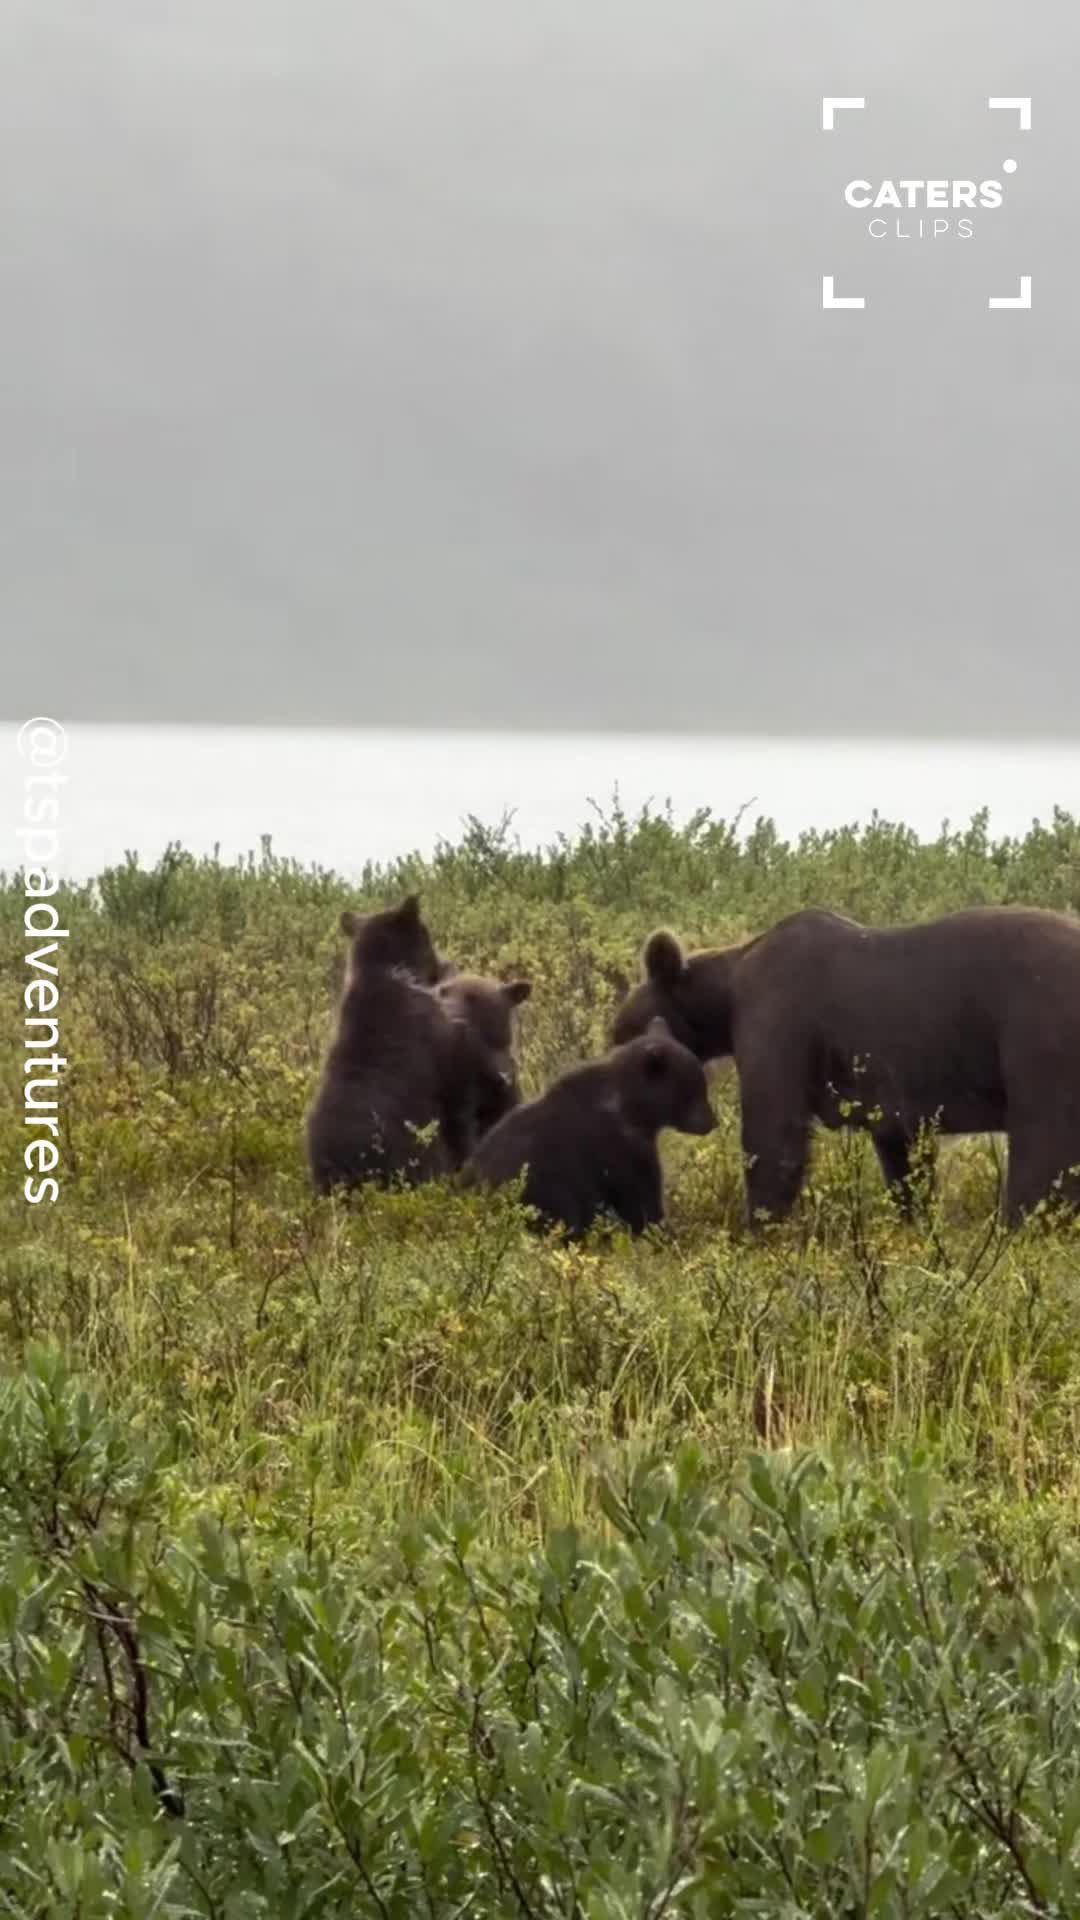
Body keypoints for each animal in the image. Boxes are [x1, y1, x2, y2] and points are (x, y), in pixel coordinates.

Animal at [462, 1016, 717, 1239]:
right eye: (694, 1089)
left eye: (702, 1084)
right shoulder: (616, 1147)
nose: (712, 1122)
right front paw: (664, 1232)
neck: (634, 1109)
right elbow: (639, 1199)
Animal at [611, 904, 1080, 1231]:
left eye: (622, 1030)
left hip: (1038, 1032)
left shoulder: (779, 1018)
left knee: (1040, 1145)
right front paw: (915, 1217)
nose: (611, 1045)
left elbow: (774, 1133)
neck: (726, 995)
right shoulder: (895, 1088)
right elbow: (902, 1153)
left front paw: (758, 1227)